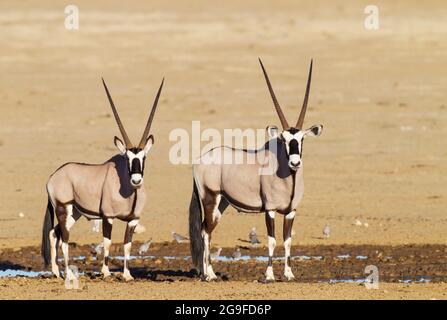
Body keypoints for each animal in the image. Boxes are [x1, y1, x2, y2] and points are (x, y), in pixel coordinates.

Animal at [41, 77, 164, 280]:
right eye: (127, 158)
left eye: (143, 158)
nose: (136, 181)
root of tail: (54, 175)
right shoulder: (108, 216)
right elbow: (107, 242)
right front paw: (105, 272)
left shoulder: (133, 220)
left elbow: (127, 245)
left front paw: (127, 275)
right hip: (62, 207)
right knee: (64, 238)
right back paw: (68, 273)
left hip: (74, 212)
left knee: (54, 233)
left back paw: (56, 271)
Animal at [189, 59, 322, 280]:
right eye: (283, 139)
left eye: (302, 139)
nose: (295, 163)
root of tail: (200, 160)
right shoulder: (270, 210)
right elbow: (272, 240)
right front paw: (269, 275)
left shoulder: (291, 211)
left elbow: (287, 241)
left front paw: (289, 274)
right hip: (210, 198)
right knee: (205, 231)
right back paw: (210, 275)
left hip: (222, 203)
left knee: (206, 229)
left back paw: (208, 272)